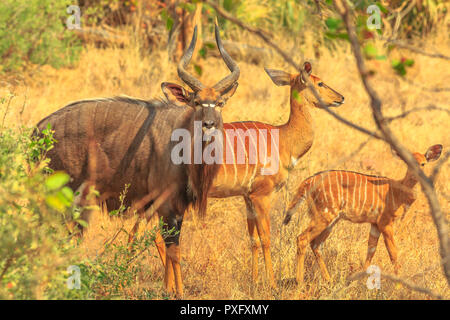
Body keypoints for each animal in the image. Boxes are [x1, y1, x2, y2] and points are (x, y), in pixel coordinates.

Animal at [36, 24, 239, 298]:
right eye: (196, 102)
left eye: (219, 103)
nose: (209, 125)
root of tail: (38, 130)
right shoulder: (167, 204)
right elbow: (173, 248)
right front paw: (177, 291)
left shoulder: (171, 207)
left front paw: (168, 288)